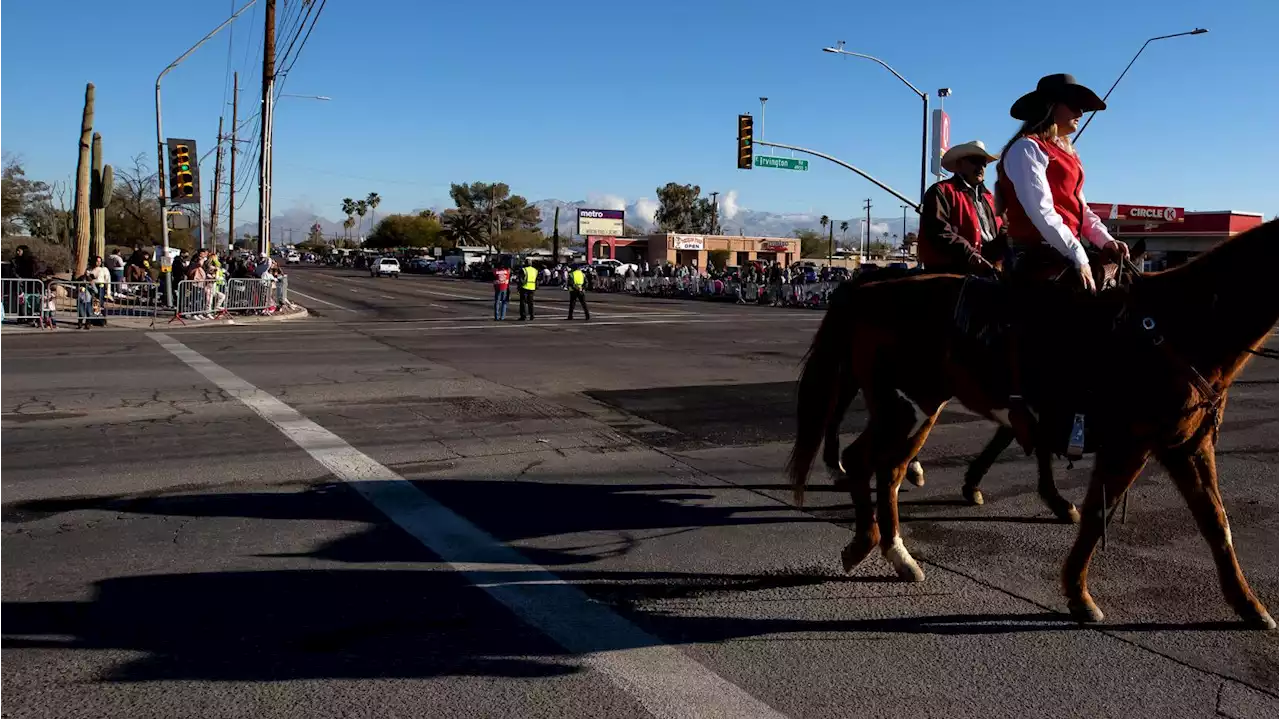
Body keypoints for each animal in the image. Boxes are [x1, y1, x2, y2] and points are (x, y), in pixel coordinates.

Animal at [788, 220, 1280, 626]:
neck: (1176, 328)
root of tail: (869, 289)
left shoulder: (1188, 445)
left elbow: (1216, 523)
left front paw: (1249, 605)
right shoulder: (1129, 446)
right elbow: (1096, 515)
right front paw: (1079, 594)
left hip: (914, 409)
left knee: (883, 468)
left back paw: (892, 551)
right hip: (903, 407)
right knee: (864, 456)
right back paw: (868, 539)